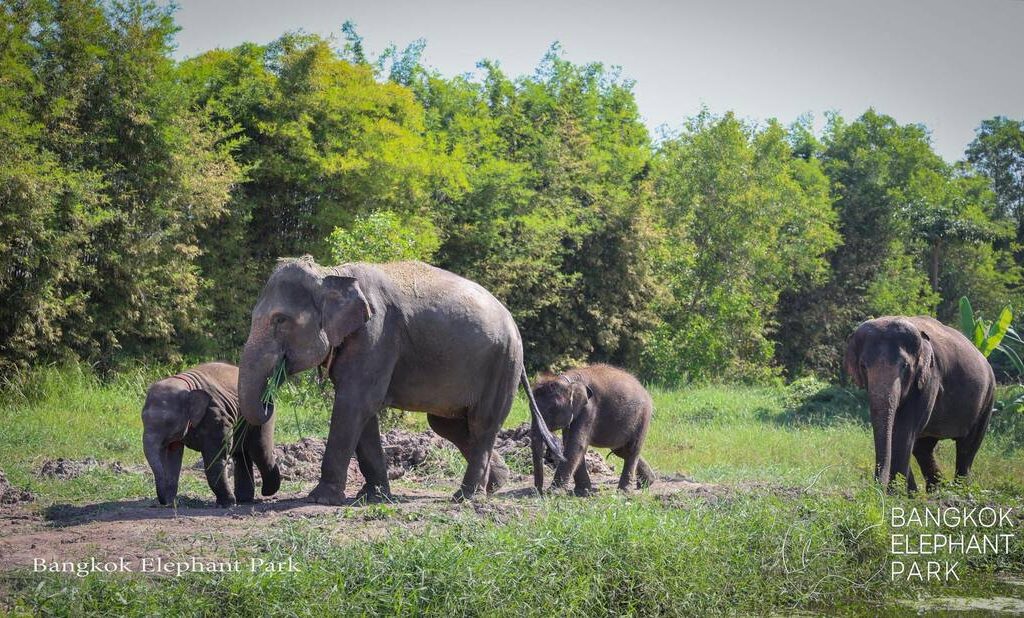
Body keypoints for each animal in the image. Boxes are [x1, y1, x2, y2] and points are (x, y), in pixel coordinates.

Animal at [142, 362, 280, 507]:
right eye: (142, 419)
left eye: (169, 422)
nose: (163, 502)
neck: (186, 386)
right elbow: (172, 458)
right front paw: (170, 504)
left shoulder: (216, 418)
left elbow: (215, 457)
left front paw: (227, 504)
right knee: (241, 453)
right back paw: (244, 499)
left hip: (261, 416)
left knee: (259, 450)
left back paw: (267, 492)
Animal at [237, 256, 563, 504]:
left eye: (280, 320)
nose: (268, 399)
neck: (333, 274)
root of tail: (513, 323)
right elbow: (361, 411)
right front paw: (373, 497)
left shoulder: (378, 333)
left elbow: (355, 402)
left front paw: (320, 499)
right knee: (450, 425)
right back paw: (495, 484)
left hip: (502, 364)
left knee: (482, 424)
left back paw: (465, 497)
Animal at [530, 364, 655, 495]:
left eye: (552, 408)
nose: (538, 491)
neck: (568, 381)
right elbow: (570, 443)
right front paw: (582, 492)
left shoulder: (589, 409)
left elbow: (576, 445)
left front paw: (554, 492)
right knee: (621, 451)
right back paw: (646, 483)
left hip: (643, 416)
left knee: (632, 450)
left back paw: (624, 492)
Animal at [844, 316, 995, 492]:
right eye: (863, 366)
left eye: (905, 366)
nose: (877, 489)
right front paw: (907, 493)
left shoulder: (929, 377)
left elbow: (904, 431)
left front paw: (896, 494)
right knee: (923, 447)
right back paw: (936, 489)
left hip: (988, 398)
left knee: (967, 447)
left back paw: (959, 489)